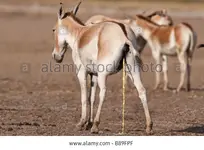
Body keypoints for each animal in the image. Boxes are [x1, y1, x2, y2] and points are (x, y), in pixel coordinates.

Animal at [51, 2, 152, 134]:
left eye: (53, 29)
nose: (55, 56)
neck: (80, 34)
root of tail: (124, 35)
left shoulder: (82, 72)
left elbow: (84, 97)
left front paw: (82, 123)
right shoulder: (94, 74)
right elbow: (91, 97)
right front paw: (88, 123)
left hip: (103, 75)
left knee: (103, 92)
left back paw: (96, 126)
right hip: (132, 71)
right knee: (142, 90)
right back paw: (149, 126)